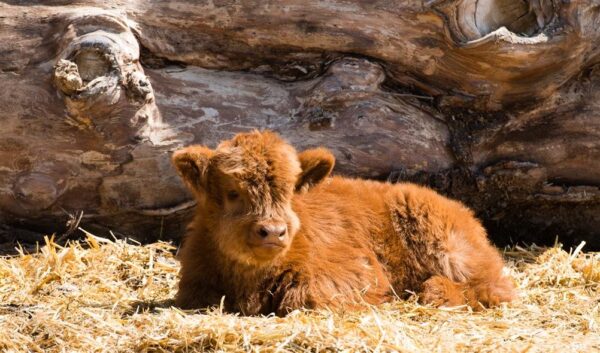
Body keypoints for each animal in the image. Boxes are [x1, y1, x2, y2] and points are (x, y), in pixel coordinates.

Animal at [171, 131, 512, 314]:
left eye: (289, 191)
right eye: (233, 192)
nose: (273, 232)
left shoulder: (359, 273)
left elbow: (305, 297)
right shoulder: (193, 287)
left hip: (449, 249)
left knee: (493, 287)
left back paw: (435, 291)